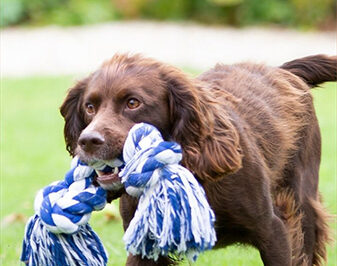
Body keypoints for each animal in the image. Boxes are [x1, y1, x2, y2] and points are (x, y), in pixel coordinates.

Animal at [59, 53, 334, 264]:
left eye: (133, 103)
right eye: (89, 107)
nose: (88, 141)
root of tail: (283, 71)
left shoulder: (273, 232)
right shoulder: (144, 247)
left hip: (302, 204)